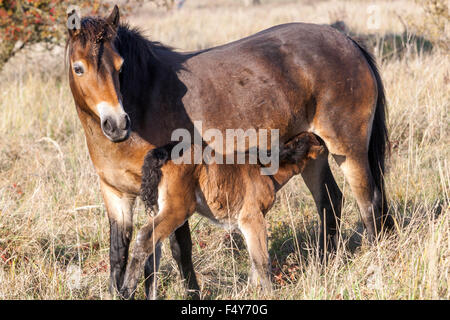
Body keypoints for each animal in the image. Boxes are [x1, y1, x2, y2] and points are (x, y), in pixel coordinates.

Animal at [119, 131, 324, 298]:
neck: (265, 169)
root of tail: (164, 151)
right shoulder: (252, 219)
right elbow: (262, 259)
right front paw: (269, 293)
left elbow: (254, 258)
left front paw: (251, 290)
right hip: (177, 209)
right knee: (146, 237)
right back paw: (126, 291)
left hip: (157, 209)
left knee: (153, 250)